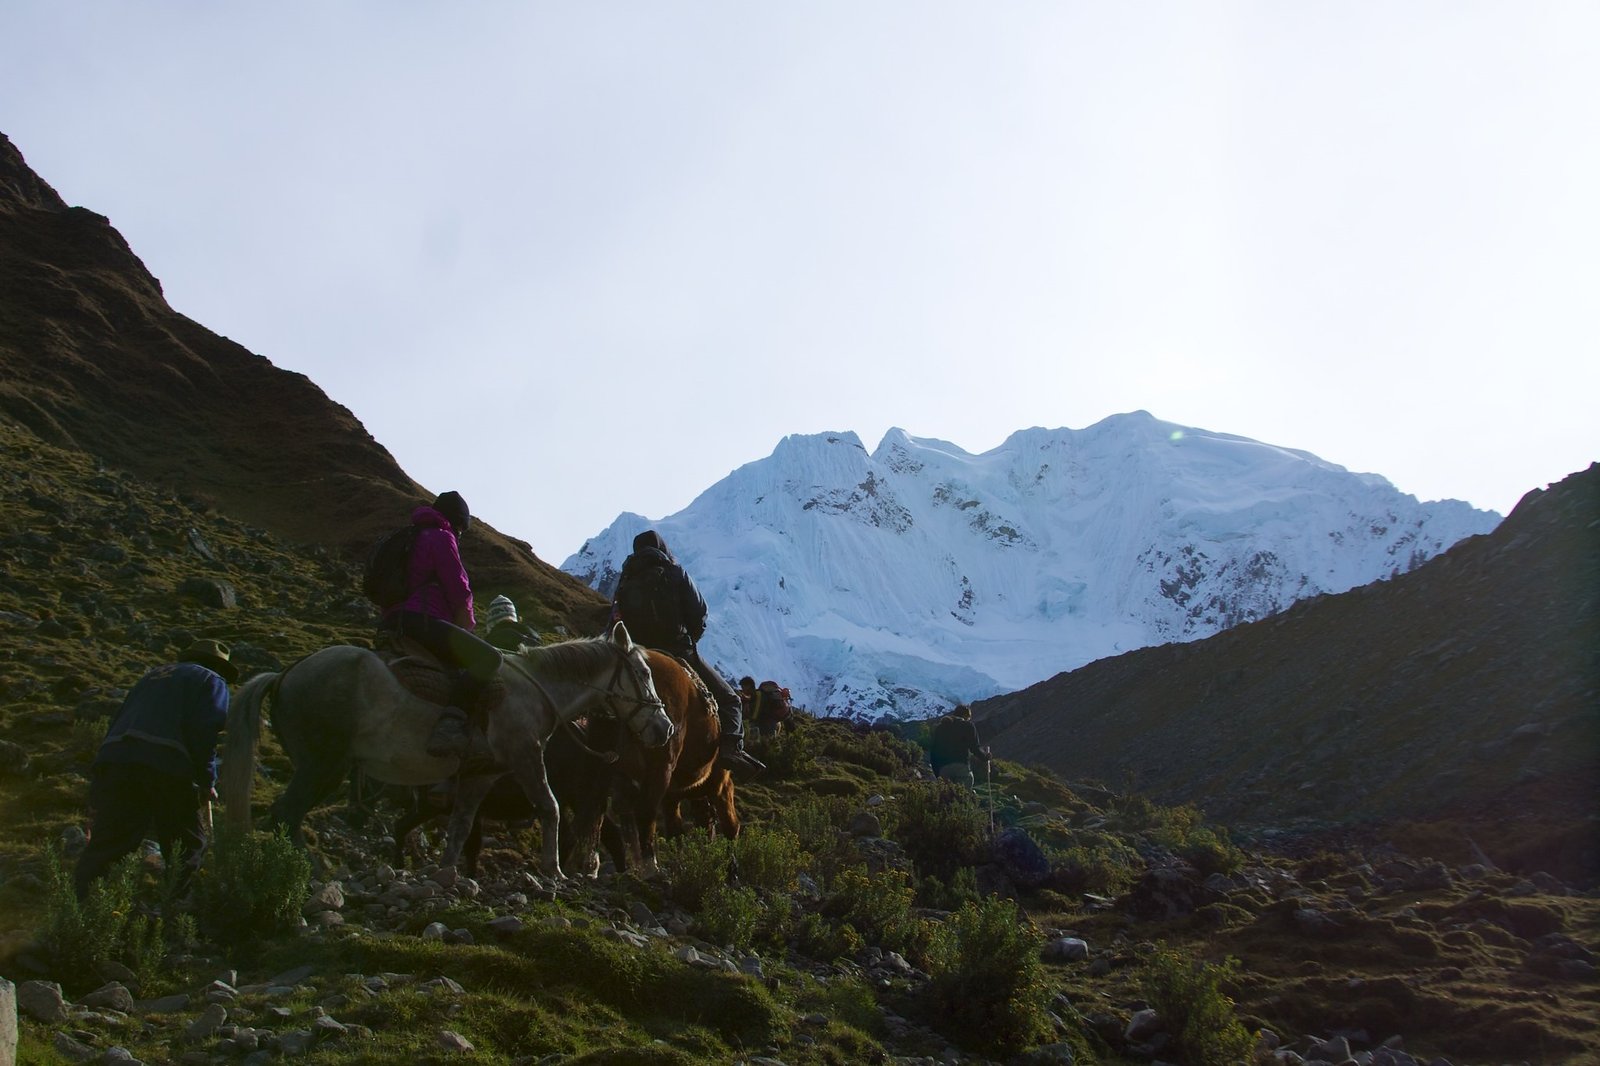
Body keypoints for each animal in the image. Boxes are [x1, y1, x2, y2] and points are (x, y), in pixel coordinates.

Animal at [219, 617, 668, 877]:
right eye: (643, 673)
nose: (663, 727)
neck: (535, 691)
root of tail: (284, 676)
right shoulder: (525, 757)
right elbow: (550, 808)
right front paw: (553, 872)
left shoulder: (481, 774)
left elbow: (462, 825)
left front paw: (447, 873)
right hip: (322, 765)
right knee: (285, 815)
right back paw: (311, 874)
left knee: (288, 817)